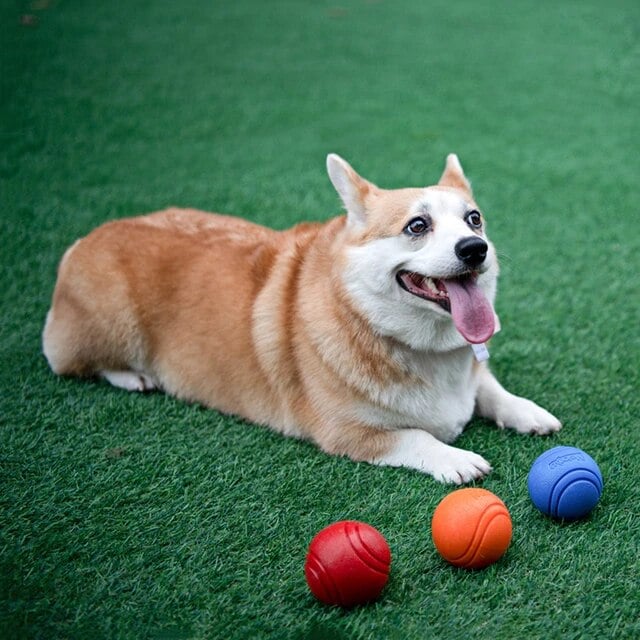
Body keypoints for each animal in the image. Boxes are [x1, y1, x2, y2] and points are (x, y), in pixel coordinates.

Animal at [43, 155, 560, 482]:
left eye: (474, 219)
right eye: (417, 226)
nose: (476, 249)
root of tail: (85, 239)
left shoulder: (473, 374)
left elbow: (489, 388)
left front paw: (528, 412)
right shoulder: (345, 432)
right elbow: (415, 437)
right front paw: (457, 458)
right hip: (109, 327)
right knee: (71, 361)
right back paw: (133, 377)